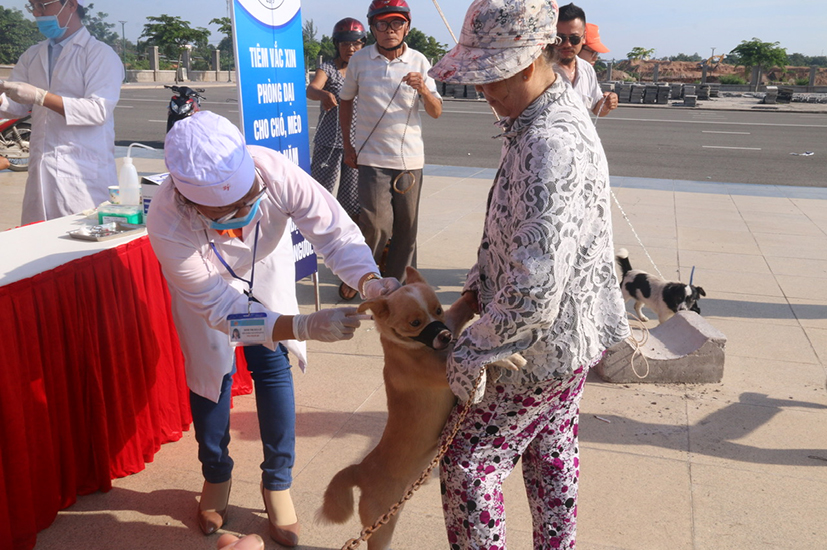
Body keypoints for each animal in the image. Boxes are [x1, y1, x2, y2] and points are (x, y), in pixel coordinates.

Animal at [318, 266, 460, 548]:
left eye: (439, 310)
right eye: (415, 323)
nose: (446, 335)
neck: (407, 346)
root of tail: (359, 469)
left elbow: (461, 311)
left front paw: (471, 299)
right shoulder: (443, 371)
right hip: (380, 527)